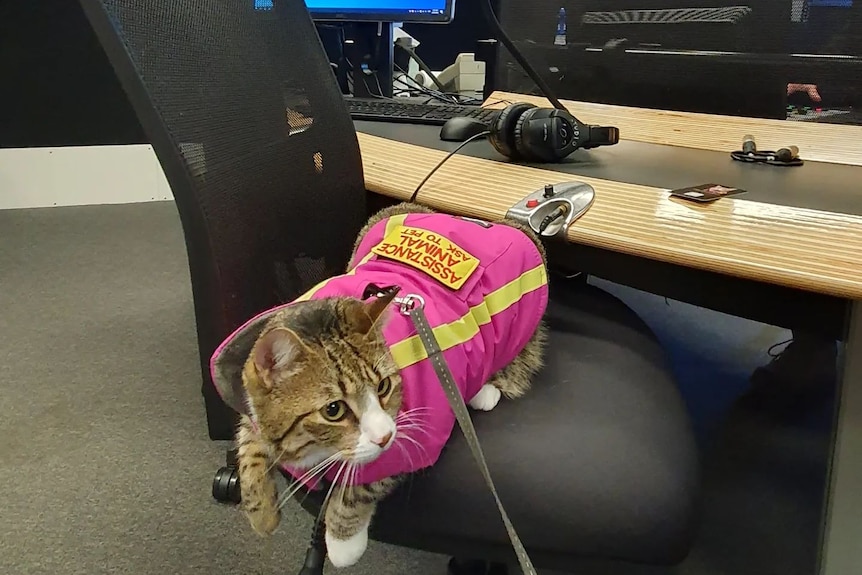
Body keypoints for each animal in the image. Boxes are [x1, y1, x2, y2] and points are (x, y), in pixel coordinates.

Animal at [236, 201, 548, 568]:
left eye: (384, 386)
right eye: (333, 409)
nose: (383, 436)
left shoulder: (416, 432)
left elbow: (362, 483)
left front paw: (342, 540)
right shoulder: (250, 397)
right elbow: (248, 444)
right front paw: (261, 512)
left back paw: (484, 389)